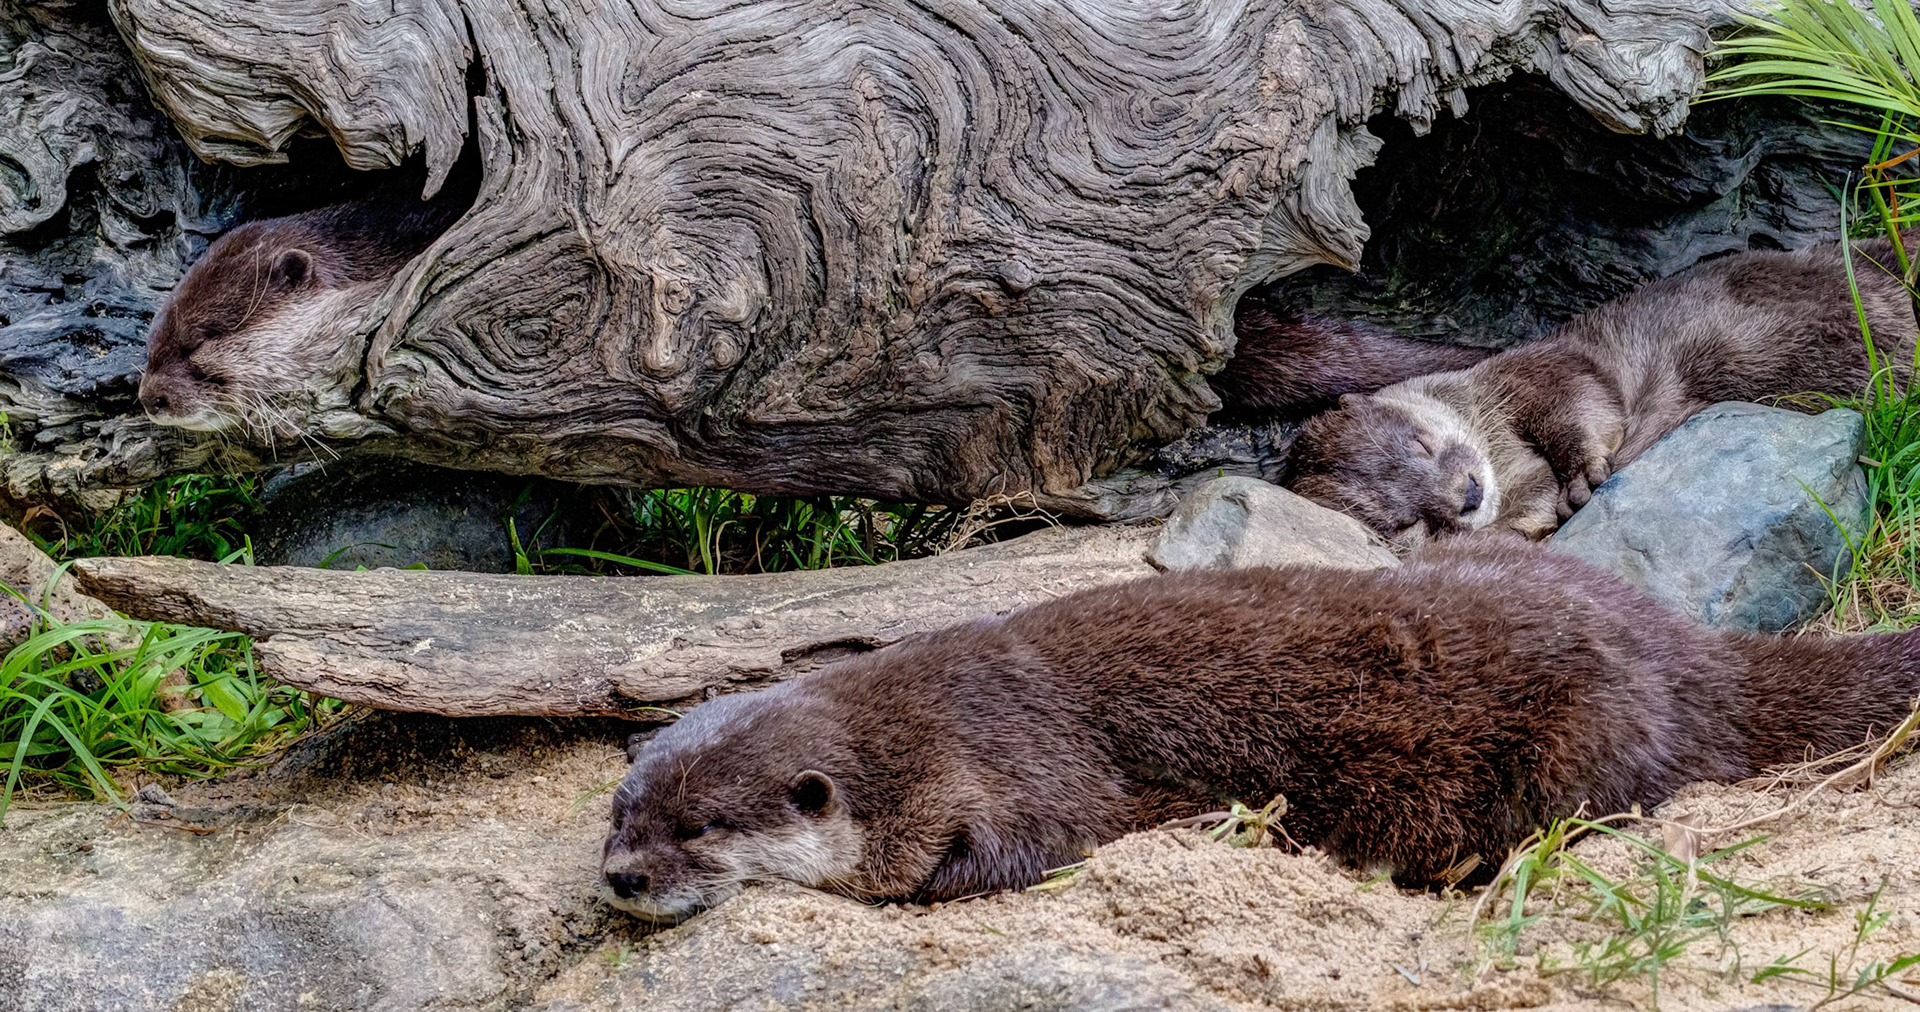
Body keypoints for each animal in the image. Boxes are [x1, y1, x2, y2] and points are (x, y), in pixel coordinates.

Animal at [600, 538, 1920, 922]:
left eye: (700, 825)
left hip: (1585, 728)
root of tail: (1688, 647)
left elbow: (1038, 845)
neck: (914, 737)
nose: (620, 877)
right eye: (621, 813)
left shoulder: (1018, 761)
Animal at [1277, 240, 1918, 546]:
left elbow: (1577, 398)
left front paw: (1584, 473)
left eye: (1420, 443)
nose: (1467, 494)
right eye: (1407, 521)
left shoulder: (1542, 366)